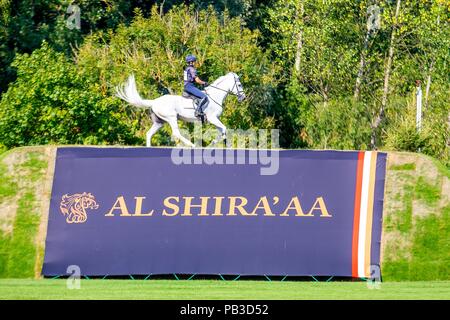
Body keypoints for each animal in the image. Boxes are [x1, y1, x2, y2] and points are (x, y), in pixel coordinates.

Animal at [114, 72, 244, 147]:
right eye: (239, 85)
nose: (243, 97)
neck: (215, 96)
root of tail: (154, 101)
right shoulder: (212, 118)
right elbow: (224, 129)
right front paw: (211, 144)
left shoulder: (214, 119)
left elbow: (223, 131)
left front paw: (214, 143)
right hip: (172, 118)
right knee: (176, 133)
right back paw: (191, 145)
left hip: (160, 122)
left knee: (149, 134)